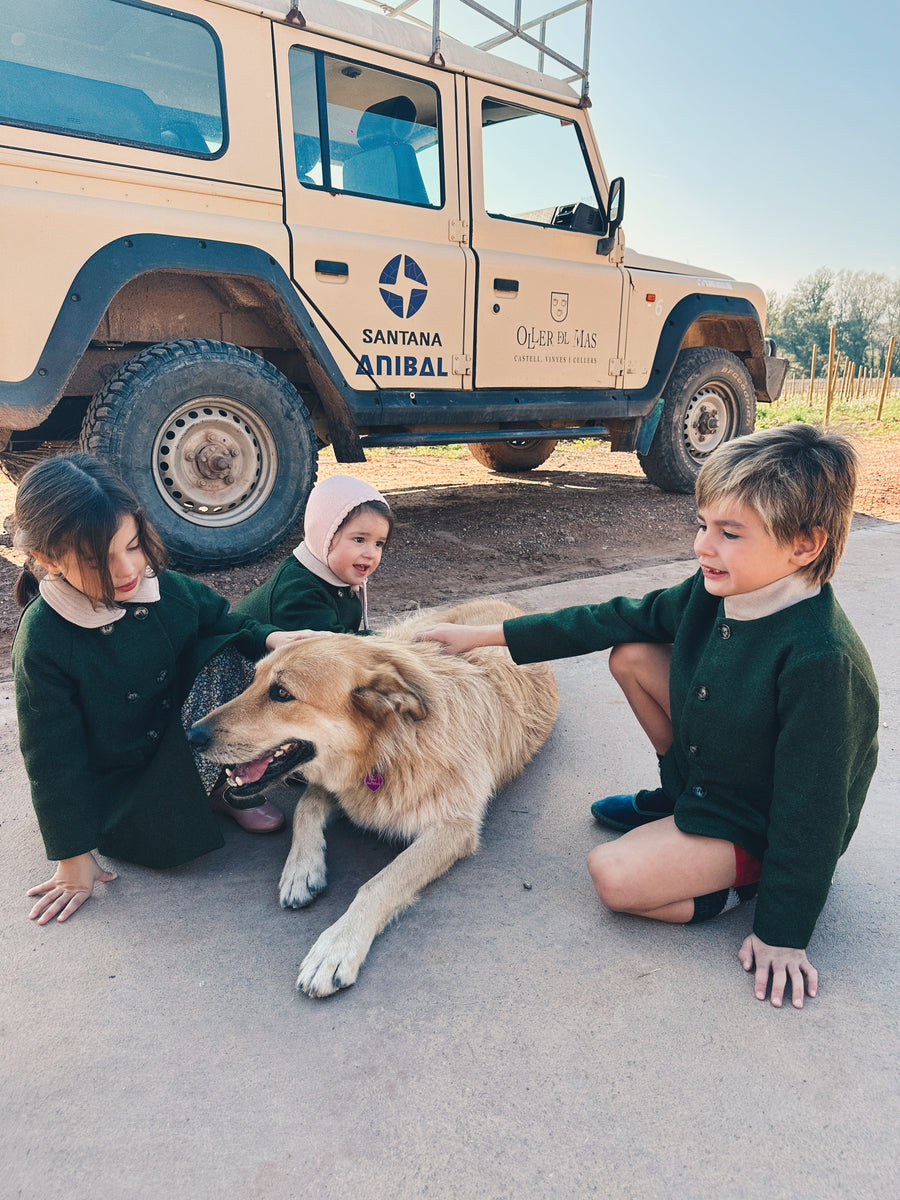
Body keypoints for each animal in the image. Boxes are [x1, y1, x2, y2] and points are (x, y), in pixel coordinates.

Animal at [190, 595, 556, 998]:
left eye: (282, 693)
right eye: (252, 680)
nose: (191, 734)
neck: (390, 749)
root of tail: (504, 602)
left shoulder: (453, 827)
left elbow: (379, 883)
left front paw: (336, 947)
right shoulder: (342, 786)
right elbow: (306, 806)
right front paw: (301, 870)